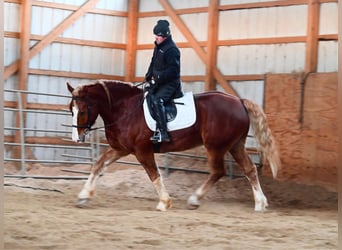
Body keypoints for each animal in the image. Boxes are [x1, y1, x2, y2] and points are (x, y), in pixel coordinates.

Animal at [67, 79, 280, 211]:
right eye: (71, 110)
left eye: (83, 111)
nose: (77, 138)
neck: (125, 109)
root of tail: (239, 101)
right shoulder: (121, 149)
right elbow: (98, 165)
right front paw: (83, 197)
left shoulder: (142, 151)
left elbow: (154, 175)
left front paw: (164, 202)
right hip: (235, 145)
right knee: (249, 169)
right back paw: (260, 203)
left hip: (215, 147)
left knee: (218, 171)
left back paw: (194, 200)